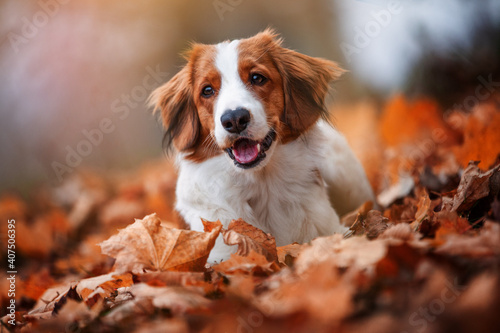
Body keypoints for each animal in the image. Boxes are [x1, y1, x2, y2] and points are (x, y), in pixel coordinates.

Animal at [150, 29, 374, 262]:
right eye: (207, 90)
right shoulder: (218, 255)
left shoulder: (332, 230)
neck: (262, 184)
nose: (234, 119)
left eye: (257, 78)